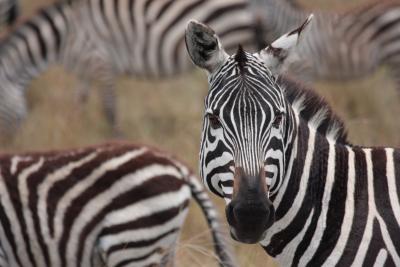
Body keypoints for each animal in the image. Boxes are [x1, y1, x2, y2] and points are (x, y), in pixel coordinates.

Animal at [0, 0, 266, 138]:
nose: (11, 145)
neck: (64, 36)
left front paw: (118, 139)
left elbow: (109, 108)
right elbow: (79, 102)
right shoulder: (84, 70)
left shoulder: (101, 61)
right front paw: (71, 131)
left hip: (233, 39)